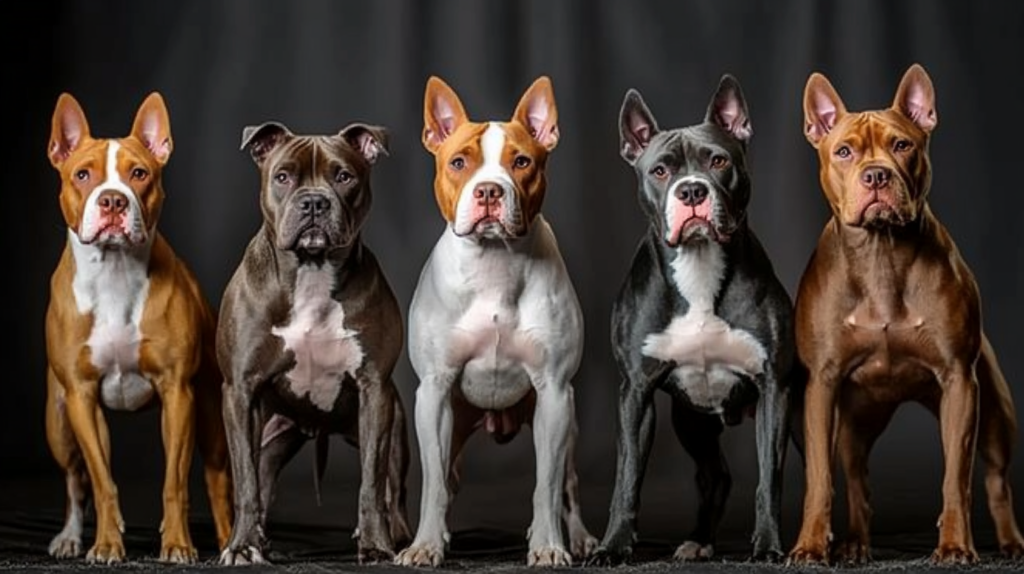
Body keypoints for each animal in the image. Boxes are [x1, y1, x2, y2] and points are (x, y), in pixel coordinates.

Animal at [44, 91, 234, 560]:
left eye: (139, 173)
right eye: (82, 174)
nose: (113, 200)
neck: (114, 273)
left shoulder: (178, 393)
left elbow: (174, 483)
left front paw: (178, 543)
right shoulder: (81, 397)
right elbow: (102, 483)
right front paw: (107, 543)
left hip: (210, 415)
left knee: (217, 479)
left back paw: (229, 541)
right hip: (58, 423)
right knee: (76, 479)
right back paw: (70, 537)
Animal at [217, 120, 411, 564]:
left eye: (344, 176)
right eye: (283, 177)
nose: (314, 203)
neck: (311, 272)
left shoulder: (375, 391)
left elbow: (372, 483)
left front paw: (375, 545)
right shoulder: (240, 391)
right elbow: (246, 483)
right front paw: (242, 546)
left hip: (392, 424)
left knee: (394, 489)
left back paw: (398, 535)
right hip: (270, 437)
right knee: (262, 480)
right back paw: (259, 539)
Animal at [395, 76, 598, 568]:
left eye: (521, 161)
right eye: (459, 162)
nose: (489, 190)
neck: (494, 265)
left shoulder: (554, 393)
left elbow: (546, 485)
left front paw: (548, 545)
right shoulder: (433, 392)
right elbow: (434, 486)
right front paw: (426, 546)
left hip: (567, 424)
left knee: (568, 482)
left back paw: (580, 538)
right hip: (453, 425)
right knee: (446, 479)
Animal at [782, 63, 1024, 564]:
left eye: (902, 145)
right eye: (844, 151)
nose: (876, 176)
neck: (881, 253)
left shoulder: (959, 383)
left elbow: (955, 478)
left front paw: (955, 544)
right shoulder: (822, 387)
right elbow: (820, 479)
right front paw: (811, 545)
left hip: (994, 414)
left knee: (996, 481)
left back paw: (1011, 542)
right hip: (855, 424)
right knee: (858, 482)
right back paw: (855, 544)